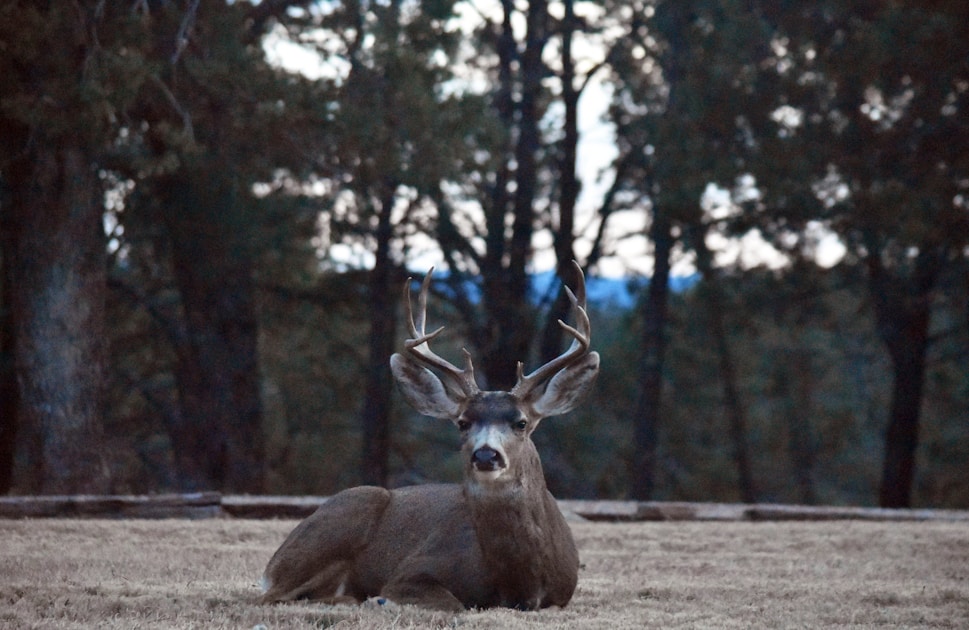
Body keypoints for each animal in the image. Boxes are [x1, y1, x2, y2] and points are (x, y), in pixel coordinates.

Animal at [259, 261, 599, 611]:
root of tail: (273, 563)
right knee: (272, 596)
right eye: (463, 422)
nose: (486, 454)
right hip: (343, 516)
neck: (519, 584)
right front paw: (381, 600)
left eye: (520, 422)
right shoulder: (413, 569)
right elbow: (454, 603)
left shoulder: (562, 594)